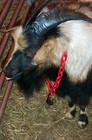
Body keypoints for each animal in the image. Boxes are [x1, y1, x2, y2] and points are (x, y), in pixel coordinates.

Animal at [3, 0, 92, 129]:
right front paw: (70, 113)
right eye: (14, 43)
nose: (6, 71)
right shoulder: (65, 82)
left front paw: (82, 120)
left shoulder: (84, 84)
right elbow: (70, 98)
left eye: (31, 52)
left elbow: (83, 102)